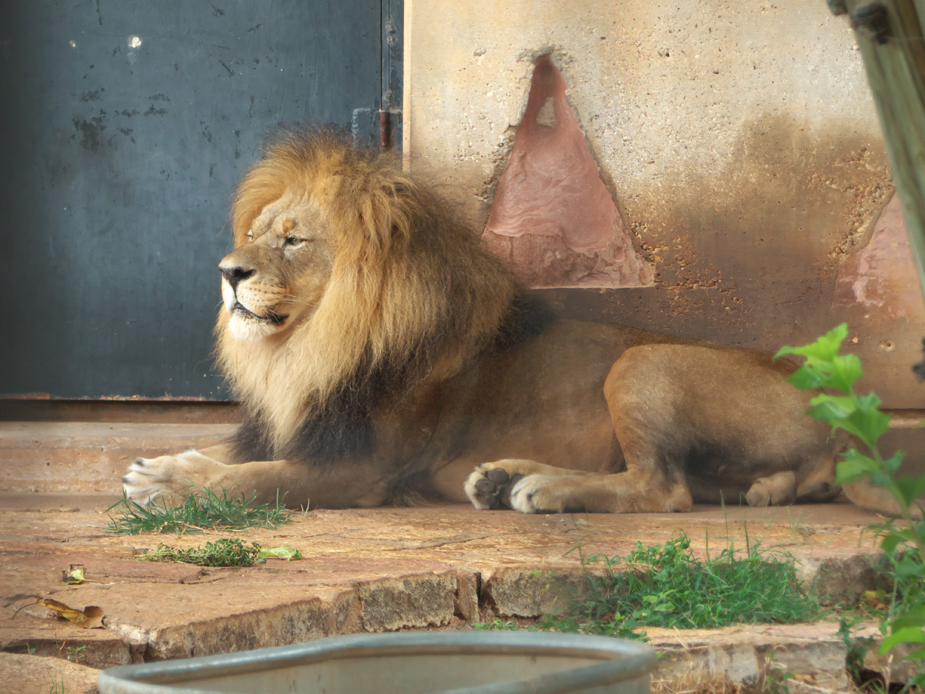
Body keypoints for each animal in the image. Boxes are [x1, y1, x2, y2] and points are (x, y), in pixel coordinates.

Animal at [124, 130, 896, 516]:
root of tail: (841, 421)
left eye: (292, 240)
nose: (227, 272)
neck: (307, 347)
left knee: (664, 488)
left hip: (642, 362)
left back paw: (541, 491)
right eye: (255, 234)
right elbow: (231, 454)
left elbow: (254, 480)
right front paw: (160, 464)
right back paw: (502, 479)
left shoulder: (363, 467)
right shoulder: (302, 428)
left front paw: (171, 486)